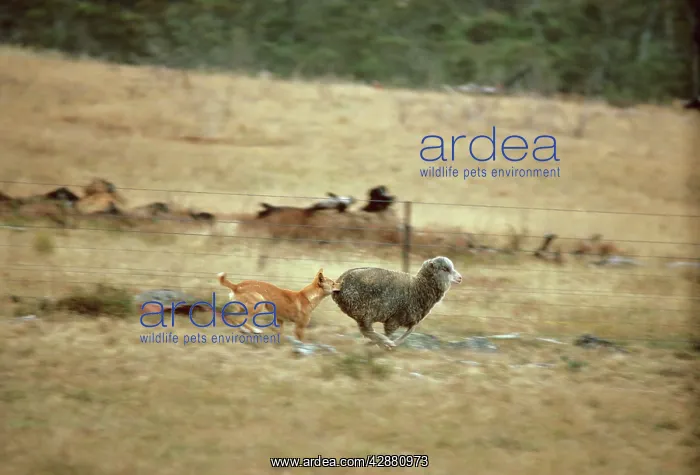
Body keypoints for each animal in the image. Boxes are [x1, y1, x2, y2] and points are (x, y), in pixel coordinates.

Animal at [331, 256, 462, 350]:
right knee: (367, 331)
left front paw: (385, 343)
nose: (460, 278)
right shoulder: (395, 318)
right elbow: (392, 333)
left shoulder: (409, 319)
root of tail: (339, 282)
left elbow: (409, 332)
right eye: (445, 269)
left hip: (361, 313)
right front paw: (385, 344)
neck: (418, 287)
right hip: (364, 311)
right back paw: (384, 342)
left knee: (367, 331)